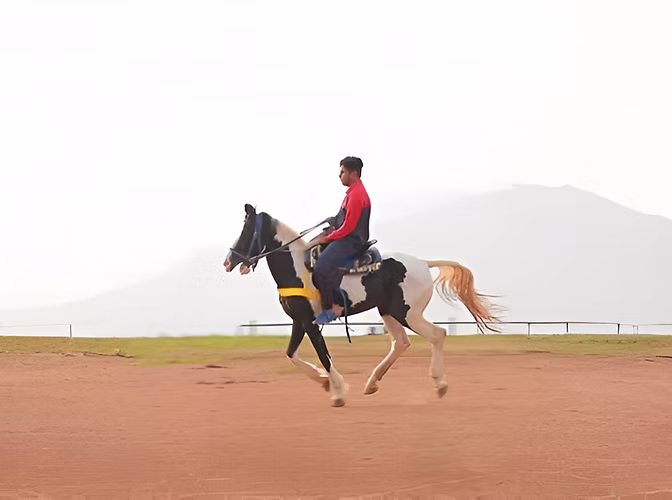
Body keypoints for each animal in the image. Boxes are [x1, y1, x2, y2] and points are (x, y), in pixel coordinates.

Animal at [224, 204, 500, 407]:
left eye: (246, 231)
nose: (228, 262)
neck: (298, 270)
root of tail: (423, 263)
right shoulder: (298, 319)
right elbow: (291, 353)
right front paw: (324, 382)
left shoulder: (310, 321)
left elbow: (323, 354)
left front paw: (337, 392)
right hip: (387, 311)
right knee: (401, 342)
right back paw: (372, 383)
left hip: (407, 313)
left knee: (437, 334)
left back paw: (440, 384)